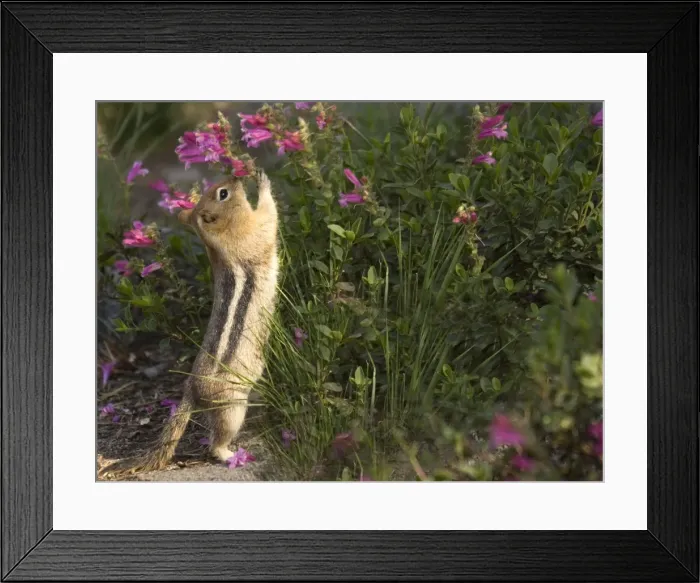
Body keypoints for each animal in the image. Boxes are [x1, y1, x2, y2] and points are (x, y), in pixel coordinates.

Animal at [101, 169, 279, 477]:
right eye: (223, 193)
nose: (236, 175)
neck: (217, 236)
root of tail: (191, 389)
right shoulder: (254, 233)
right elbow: (269, 217)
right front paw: (262, 182)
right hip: (232, 407)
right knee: (216, 441)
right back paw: (230, 454)